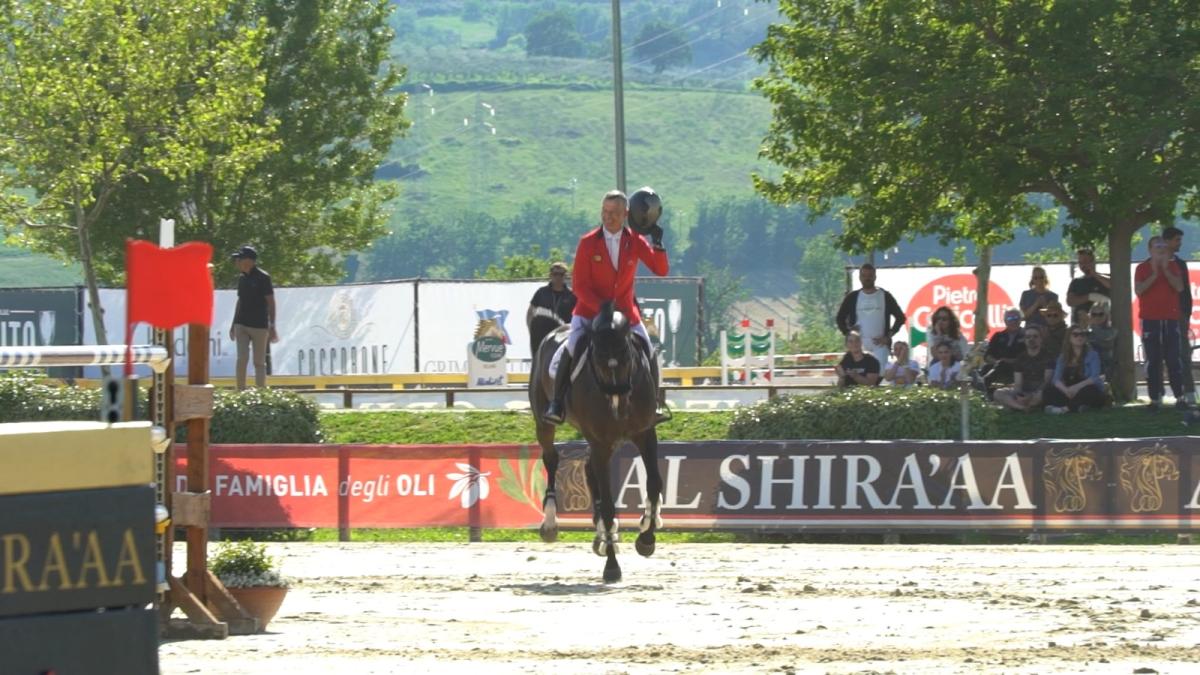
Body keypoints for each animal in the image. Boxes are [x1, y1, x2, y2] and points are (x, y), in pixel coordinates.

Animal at [530, 302, 667, 581]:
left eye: (627, 357)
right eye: (599, 362)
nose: (618, 406)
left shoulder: (644, 434)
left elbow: (654, 485)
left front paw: (646, 537)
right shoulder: (601, 442)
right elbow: (608, 503)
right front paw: (612, 565)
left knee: (587, 469)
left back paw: (602, 536)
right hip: (545, 423)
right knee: (552, 459)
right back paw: (550, 522)